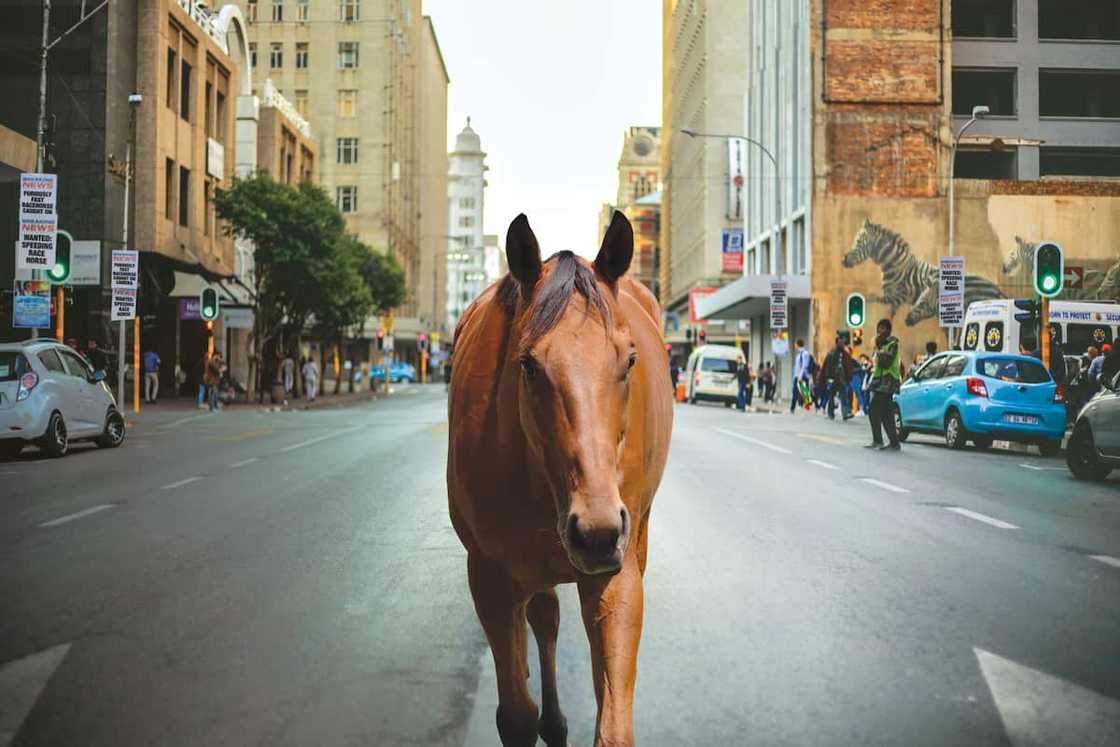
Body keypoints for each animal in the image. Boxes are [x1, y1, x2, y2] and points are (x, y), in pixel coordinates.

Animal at [447, 211, 673, 746]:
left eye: (630, 359)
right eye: (528, 365)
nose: (595, 532)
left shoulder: (617, 573)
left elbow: (613, 723)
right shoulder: (489, 575)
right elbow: (516, 715)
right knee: (544, 617)